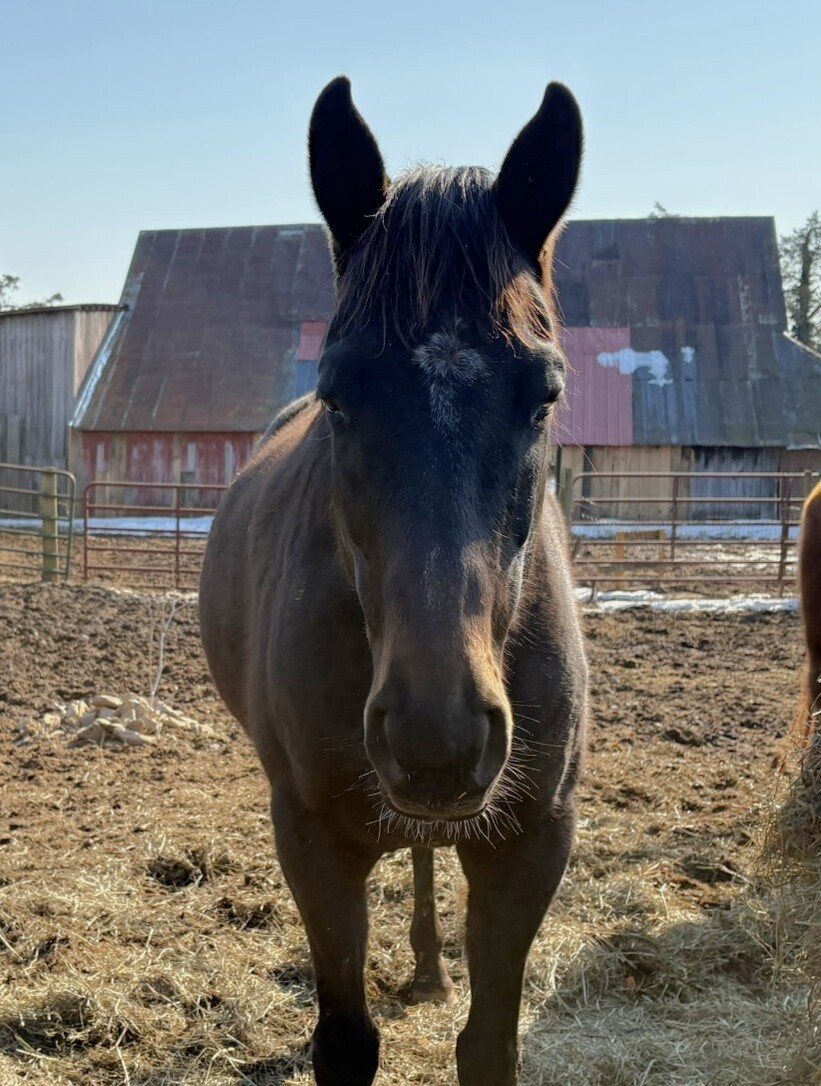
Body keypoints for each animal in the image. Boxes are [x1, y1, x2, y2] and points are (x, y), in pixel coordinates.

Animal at [200, 76, 588, 1086]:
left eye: (544, 395)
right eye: (340, 395)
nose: (436, 736)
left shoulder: (532, 842)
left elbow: (488, 1045)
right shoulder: (312, 841)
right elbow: (345, 1039)